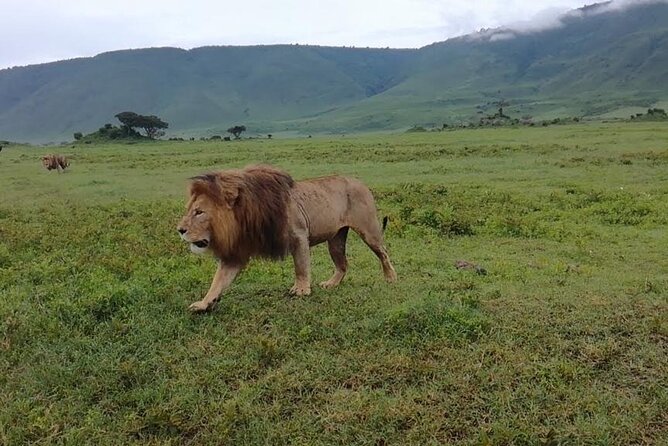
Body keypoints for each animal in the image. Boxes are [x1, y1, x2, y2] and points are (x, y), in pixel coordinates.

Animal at [178, 165, 397, 312]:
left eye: (199, 212)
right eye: (190, 210)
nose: (180, 230)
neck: (247, 216)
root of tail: (361, 182)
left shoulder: (299, 235)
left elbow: (300, 266)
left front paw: (301, 290)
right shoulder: (237, 252)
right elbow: (218, 280)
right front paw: (204, 303)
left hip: (369, 231)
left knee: (383, 253)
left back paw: (390, 278)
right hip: (335, 238)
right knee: (343, 264)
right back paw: (331, 284)